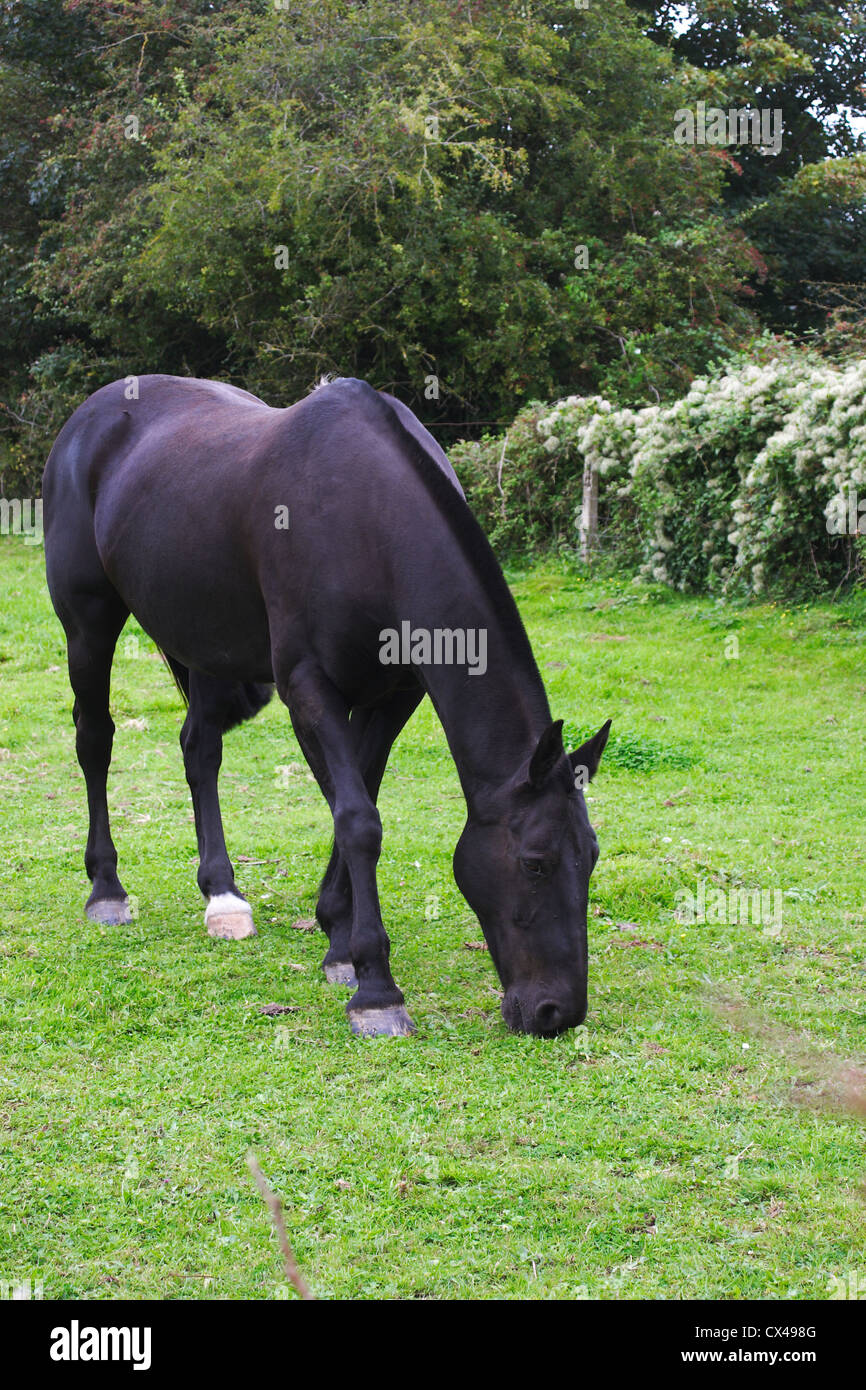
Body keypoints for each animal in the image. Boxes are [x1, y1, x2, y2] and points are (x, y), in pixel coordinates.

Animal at [40, 375, 608, 1039]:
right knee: (95, 741)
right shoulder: (308, 688)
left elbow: (359, 793)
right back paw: (106, 889)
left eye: (590, 857)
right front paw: (376, 989)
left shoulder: (395, 694)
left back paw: (223, 896)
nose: (557, 1012)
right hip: (89, 624)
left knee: (199, 749)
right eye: (536, 863)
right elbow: (358, 818)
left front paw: (338, 941)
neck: (366, 520)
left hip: (202, 640)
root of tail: (90, 414)